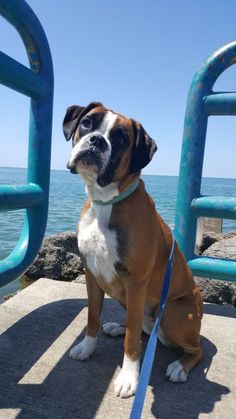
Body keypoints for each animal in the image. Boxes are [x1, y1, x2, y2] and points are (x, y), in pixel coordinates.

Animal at [63, 103, 203, 398]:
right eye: (87, 123)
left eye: (120, 139)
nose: (97, 141)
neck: (106, 201)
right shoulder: (92, 275)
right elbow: (93, 317)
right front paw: (87, 347)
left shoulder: (135, 282)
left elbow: (132, 343)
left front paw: (129, 377)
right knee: (140, 328)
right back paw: (119, 327)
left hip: (172, 314)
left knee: (194, 348)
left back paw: (180, 367)